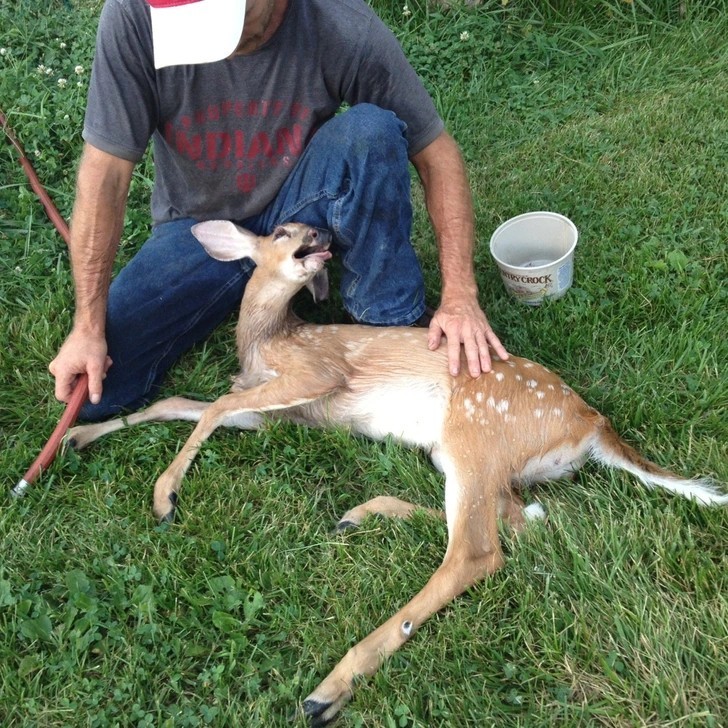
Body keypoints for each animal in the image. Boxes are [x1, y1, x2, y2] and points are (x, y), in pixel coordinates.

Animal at [65, 220, 724, 724]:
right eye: (282, 231)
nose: (322, 232)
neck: (265, 342)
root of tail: (592, 423)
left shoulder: (315, 373)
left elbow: (211, 407)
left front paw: (164, 496)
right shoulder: (276, 412)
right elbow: (180, 403)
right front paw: (77, 435)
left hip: (474, 434)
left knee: (476, 552)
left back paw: (328, 689)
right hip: (472, 460)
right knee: (520, 522)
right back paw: (360, 516)